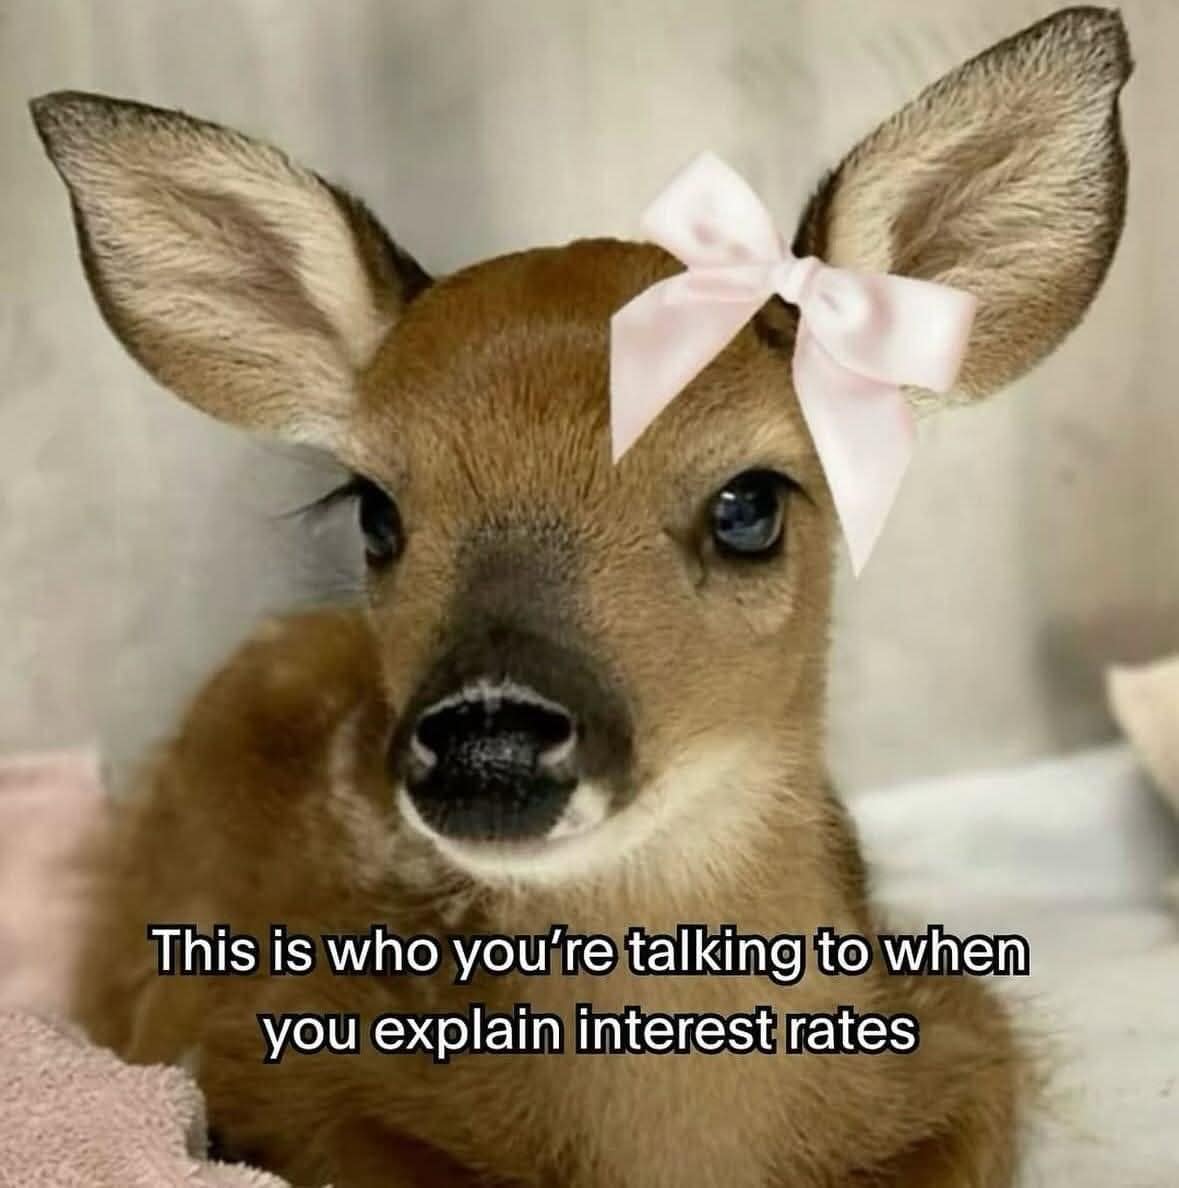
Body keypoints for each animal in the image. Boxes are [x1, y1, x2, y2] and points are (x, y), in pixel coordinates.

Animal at [29, 6, 1130, 1187]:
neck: (681, 1144)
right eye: (375, 509)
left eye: (749, 502)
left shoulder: (959, 1034)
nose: (491, 740)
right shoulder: (257, 1039)